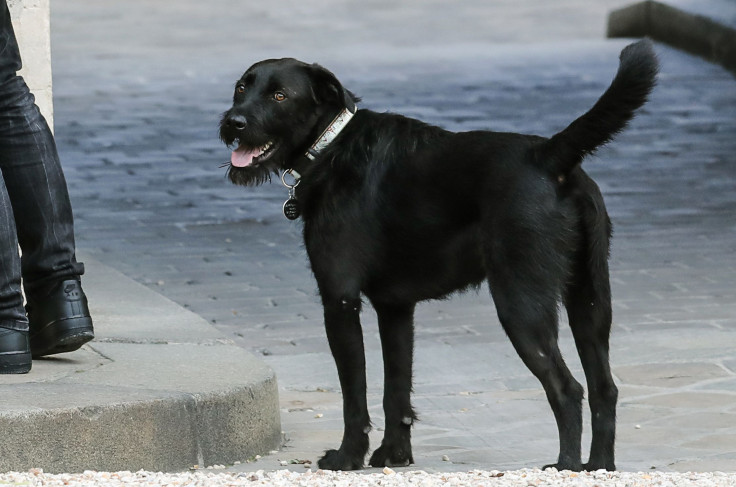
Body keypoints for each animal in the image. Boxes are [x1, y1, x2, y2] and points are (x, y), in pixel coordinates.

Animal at [218, 41, 656, 472]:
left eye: (279, 96)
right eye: (241, 87)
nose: (233, 122)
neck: (331, 144)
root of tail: (550, 155)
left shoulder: (340, 301)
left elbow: (354, 394)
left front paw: (348, 457)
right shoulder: (395, 309)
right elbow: (395, 389)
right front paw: (394, 455)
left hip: (521, 306)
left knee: (567, 389)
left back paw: (567, 466)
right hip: (590, 301)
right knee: (604, 388)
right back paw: (598, 465)